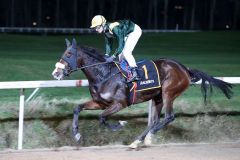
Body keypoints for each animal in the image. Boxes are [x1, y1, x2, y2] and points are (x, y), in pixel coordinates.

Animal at [52, 39, 232, 149]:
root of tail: (185, 69)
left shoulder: (120, 103)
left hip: (168, 92)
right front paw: (76, 134)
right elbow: (77, 108)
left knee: (169, 117)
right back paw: (140, 140)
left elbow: (102, 118)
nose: (55, 73)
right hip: (157, 97)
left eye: (68, 54)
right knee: (155, 120)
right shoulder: (101, 102)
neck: (104, 74)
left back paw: (146, 137)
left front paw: (120, 124)